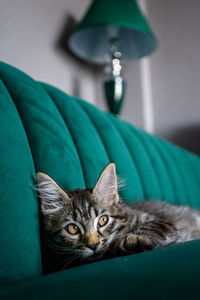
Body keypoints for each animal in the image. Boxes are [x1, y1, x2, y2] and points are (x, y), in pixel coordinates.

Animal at [36, 163, 200, 274]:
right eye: (72, 228)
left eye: (103, 220)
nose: (93, 245)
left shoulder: (162, 222)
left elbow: (148, 228)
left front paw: (129, 239)